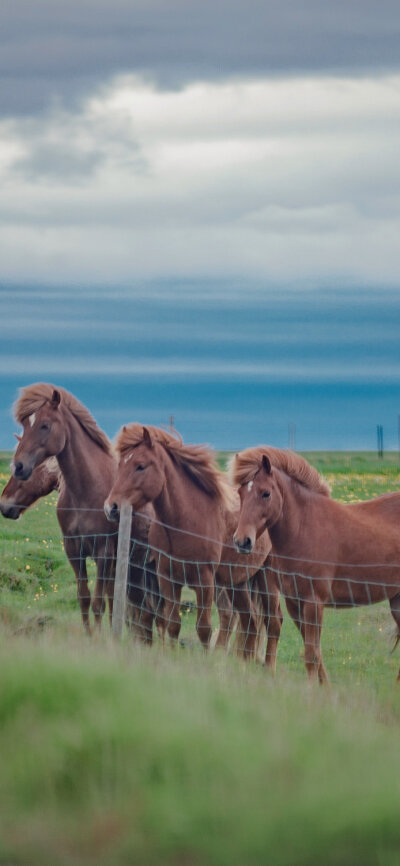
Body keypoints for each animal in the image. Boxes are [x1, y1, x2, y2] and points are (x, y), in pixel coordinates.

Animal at [11, 384, 155, 636]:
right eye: (26, 424)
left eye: (45, 425)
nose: (19, 467)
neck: (86, 490)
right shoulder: (74, 550)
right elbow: (86, 598)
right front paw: (91, 636)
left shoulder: (104, 553)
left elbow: (99, 603)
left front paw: (99, 639)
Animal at [104, 422, 276, 660]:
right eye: (120, 465)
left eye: (140, 466)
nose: (111, 507)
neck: (186, 521)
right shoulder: (167, 578)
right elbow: (172, 623)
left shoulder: (204, 581)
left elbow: (203, 628)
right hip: (238, 582)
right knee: (250, 621)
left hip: (266, 579)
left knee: (271, 623)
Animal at [230, 446, 400, 680]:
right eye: (240, 493)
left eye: (266, 493)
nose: (242, 541)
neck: (304, 528)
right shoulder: (295, 604)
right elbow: (315, 654)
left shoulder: (313, 603)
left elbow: (311, 655)